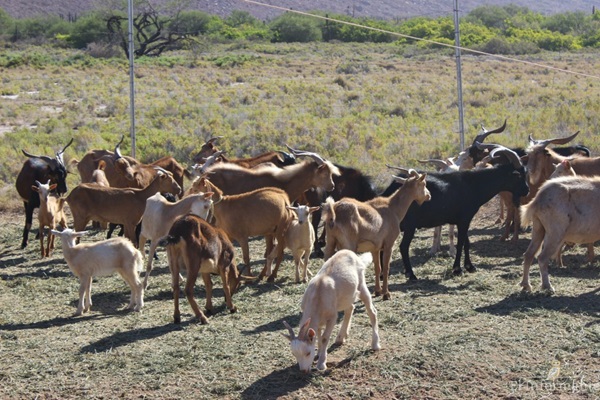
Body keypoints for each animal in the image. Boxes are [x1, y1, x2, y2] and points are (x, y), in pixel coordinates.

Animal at [324, 170, 432, 300]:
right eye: (424, 184)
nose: (429, 195)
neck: (393, 208)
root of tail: (334, 212)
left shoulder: (375, 248)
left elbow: (377, 268)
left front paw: (377, 291)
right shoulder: (389, 244)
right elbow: (385, 268)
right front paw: (386, 294)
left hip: (330, 242)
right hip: (348, 245)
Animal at [384, 145, 528, 280]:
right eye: (518, 175)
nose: (526, 190)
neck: (473, 185)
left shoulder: (464, 220)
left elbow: (466, 243)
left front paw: (470, 266)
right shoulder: (464, 220)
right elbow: (460, 244)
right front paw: (457, 269)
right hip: (409, 226)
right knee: (403, 247)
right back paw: (411, 275)